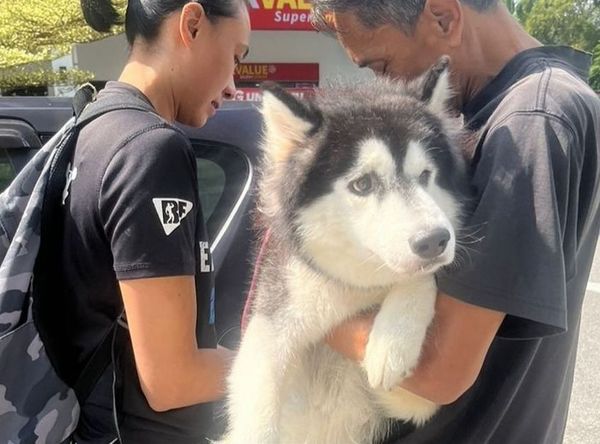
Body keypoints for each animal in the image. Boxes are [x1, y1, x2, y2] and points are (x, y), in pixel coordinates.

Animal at [223, 60, 472, 444]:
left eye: (425, 175)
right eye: (363, 184)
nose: (435, 240)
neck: (352, 292)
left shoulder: (418, 400)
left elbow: (419, 280)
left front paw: (393, 339)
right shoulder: (267, 333)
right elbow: (257, 422)